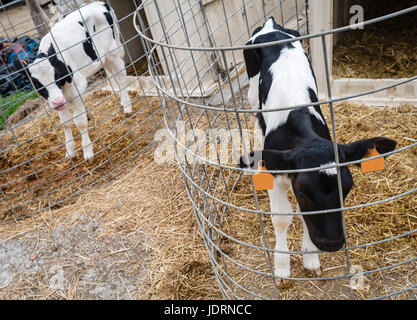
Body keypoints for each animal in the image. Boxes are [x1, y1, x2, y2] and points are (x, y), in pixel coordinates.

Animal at [27, 0, 131, 160]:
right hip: (104, 58)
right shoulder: (60, 98)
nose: (58, 101)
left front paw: (87, 151)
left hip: (112, 52)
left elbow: (80, 122)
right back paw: (122, 101)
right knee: (113, 76)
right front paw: (69, 151)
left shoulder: (78, 88)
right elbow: (65, 123)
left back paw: (127, 107)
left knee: (121, 75)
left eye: (56, 76)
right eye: (37, 83)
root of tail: (100, 3)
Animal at [239, 18, 394, 284]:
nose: (332, 244)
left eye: (348, 189)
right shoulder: (277, 174)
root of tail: (271, 24)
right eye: (303, 192)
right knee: (257, 118)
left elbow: (304, 216)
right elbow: (282, 218)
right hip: (251, 92)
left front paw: (310, 259)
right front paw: (282, 268)